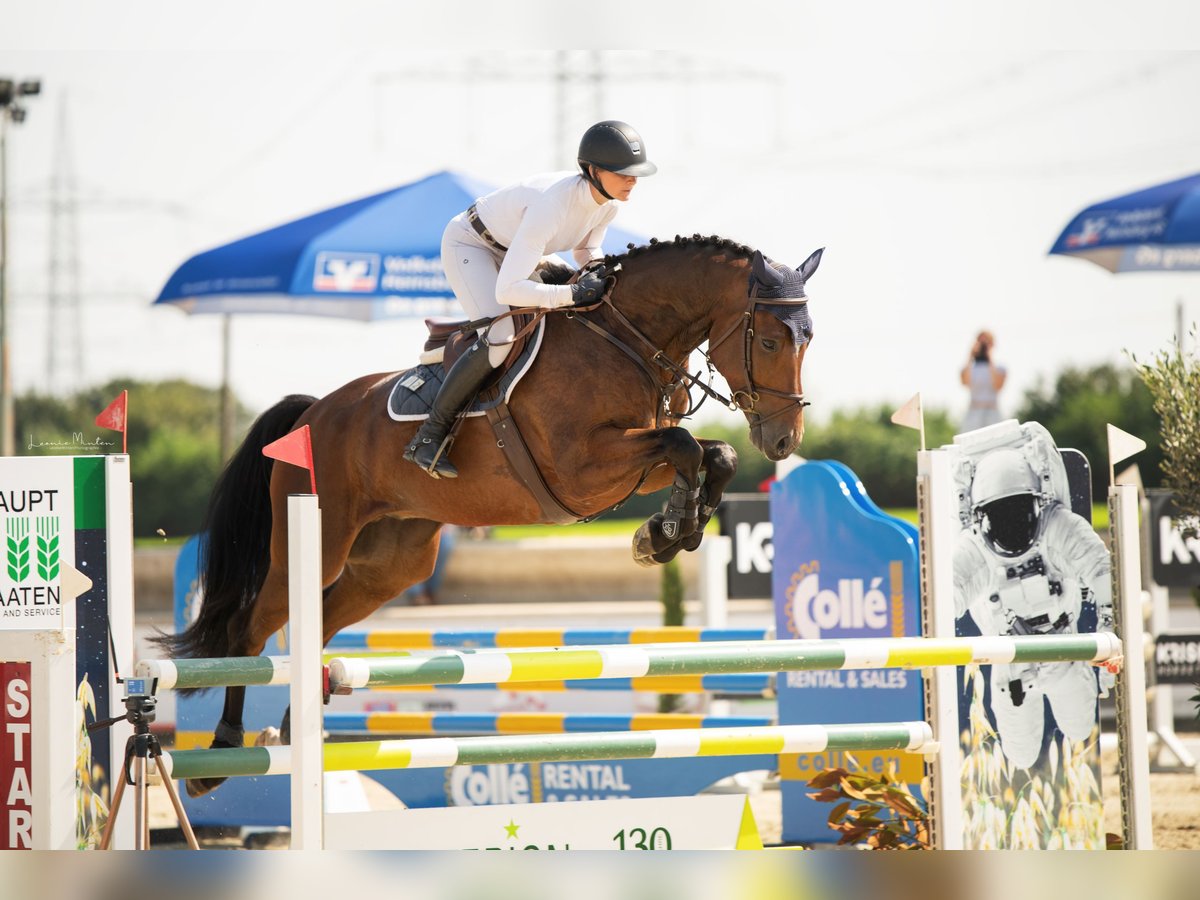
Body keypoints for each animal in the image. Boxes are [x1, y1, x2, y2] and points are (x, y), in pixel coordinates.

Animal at [154, 232, 820, 796]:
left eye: (808, 339)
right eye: (768, 340)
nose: (784, 441)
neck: (625, 340)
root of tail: (313, 412)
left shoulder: (630, 460)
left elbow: (713, 453)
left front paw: (666, 531)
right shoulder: (582, 471)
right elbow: (684, 446)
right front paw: (666, 532)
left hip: (391, 564)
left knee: (318, 623)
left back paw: (297, 731)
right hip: (317, 543)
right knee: (252, 629)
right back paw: (220, 756)